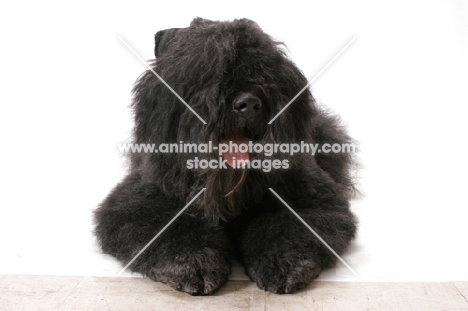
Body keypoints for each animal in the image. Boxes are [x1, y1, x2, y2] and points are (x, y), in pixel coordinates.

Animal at [95, 18, 358, 296]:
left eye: (267, 69)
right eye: (208, 68)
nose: (249, 103)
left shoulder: (313, 201)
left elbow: (284, 226)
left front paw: (285, 261)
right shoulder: (139, 203)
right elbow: (171, 228)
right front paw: (191, 260)